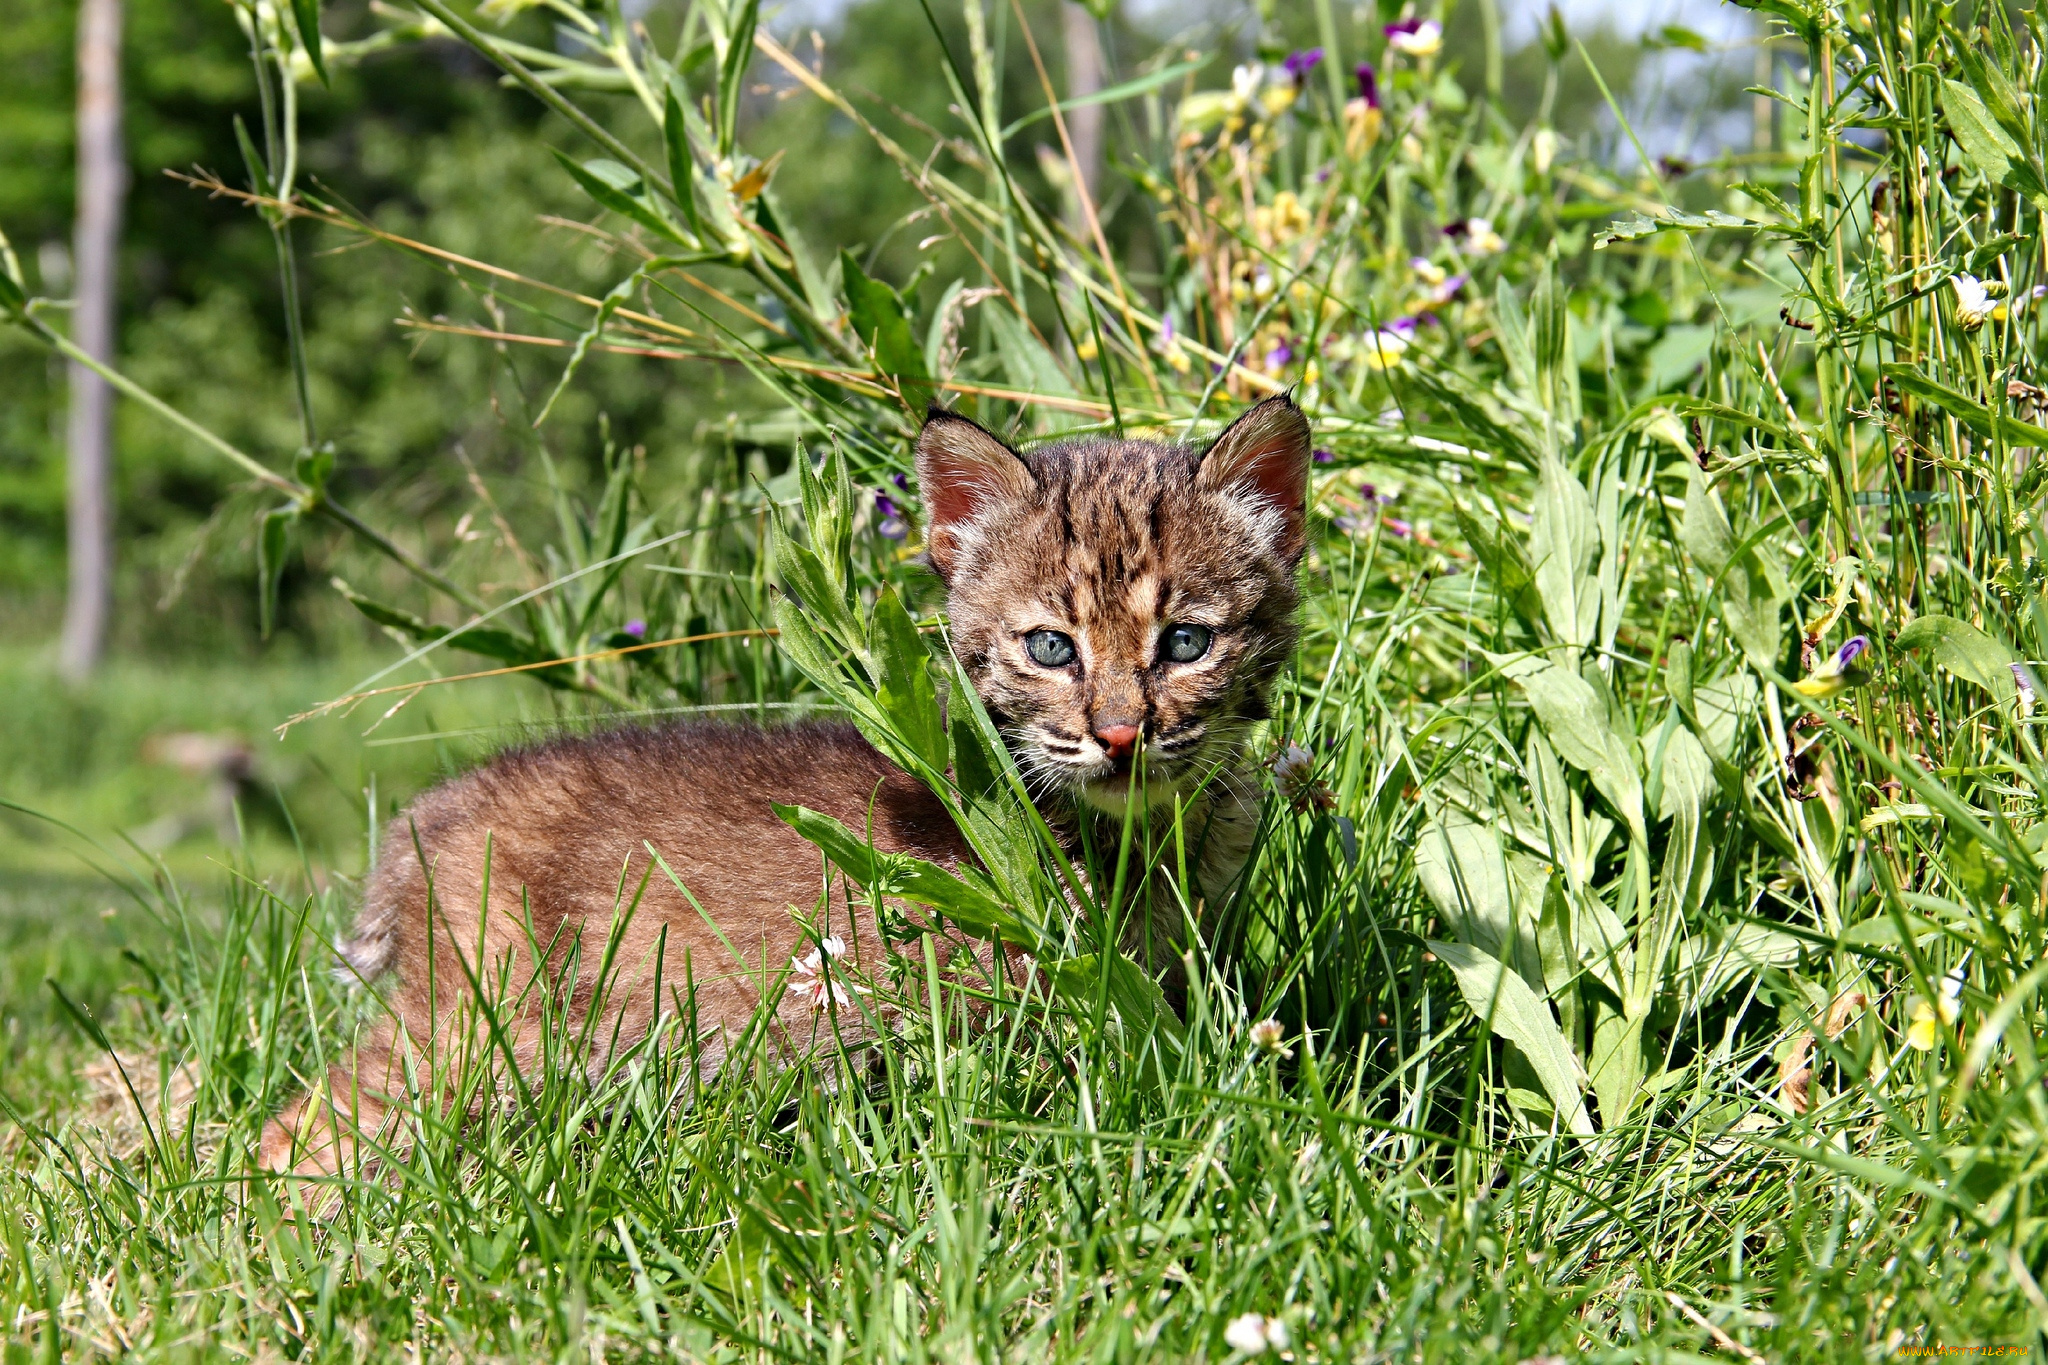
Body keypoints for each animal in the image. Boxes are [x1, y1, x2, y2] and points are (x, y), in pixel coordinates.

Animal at [260, 392, 1310, 1178]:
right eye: (1052, 648)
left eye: (1187, 642)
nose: (1122, 734)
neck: (1141, 827)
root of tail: (427, 810)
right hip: (482, 1035)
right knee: (302, 1126)